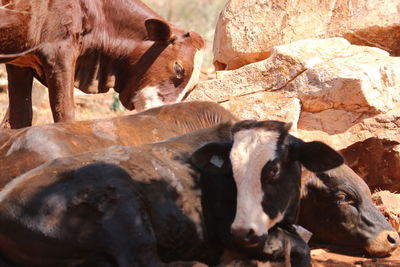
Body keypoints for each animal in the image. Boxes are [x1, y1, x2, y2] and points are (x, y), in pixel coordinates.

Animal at [0, 0, 205, 130]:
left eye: (191, 89)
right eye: (178, 68)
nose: (165, 113)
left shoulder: (20, 63)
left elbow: (20, 119)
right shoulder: (59, 54)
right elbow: (64, 113)